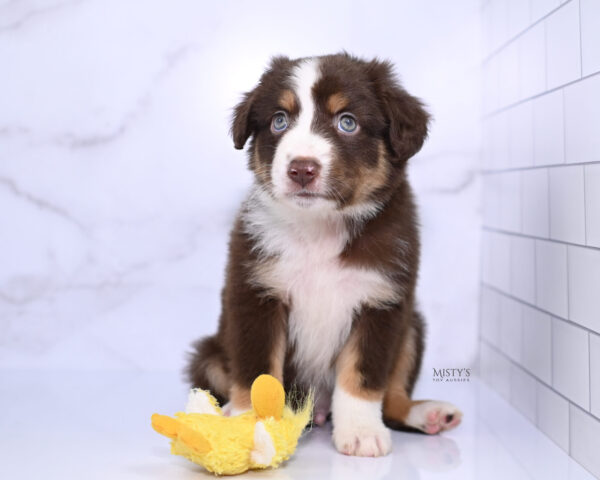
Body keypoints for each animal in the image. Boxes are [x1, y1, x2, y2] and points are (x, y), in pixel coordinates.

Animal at [185, 53, 462, 458]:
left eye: (347, 122)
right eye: (279, 120)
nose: (301, 168)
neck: (321, 229)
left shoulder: (382, 301)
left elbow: (363, 376)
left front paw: (361, 432)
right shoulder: (255, 294)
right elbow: (257, 371)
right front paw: (254, 424)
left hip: (412, 326)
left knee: (394, 397)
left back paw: (428, 414)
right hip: (209, 354)